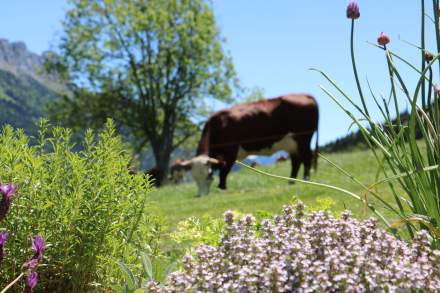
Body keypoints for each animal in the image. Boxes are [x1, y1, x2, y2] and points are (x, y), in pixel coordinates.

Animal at [180, 93, 318, 194]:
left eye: (208, 176)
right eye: (194, 177)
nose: (202, 195)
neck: (218, 126)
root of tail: (306, 95)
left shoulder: (231, 151)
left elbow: (224, 172)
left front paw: (222, 188)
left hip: (303, 138)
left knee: (306, 157)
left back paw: (306, 179)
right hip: (292, 143)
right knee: (296, 161)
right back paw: (291, 181)